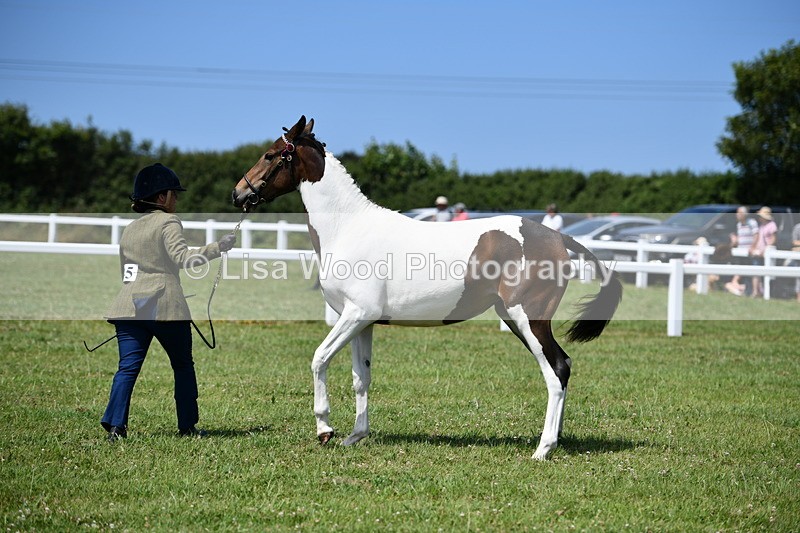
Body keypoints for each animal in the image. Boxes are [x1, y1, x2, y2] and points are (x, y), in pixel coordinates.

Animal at [232, 116, 622, 459]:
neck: (349, 229)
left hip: (528, 318)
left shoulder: (355, 315)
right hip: (515, 319)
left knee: (556, 371)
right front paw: (355, 436)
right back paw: (555, 440)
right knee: (564, 365)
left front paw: (325, 429)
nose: (238, 194)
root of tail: (557, 237)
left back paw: (543, 449)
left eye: (271, 154)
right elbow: (361, 377)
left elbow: (319, 359)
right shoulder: (362, 322)